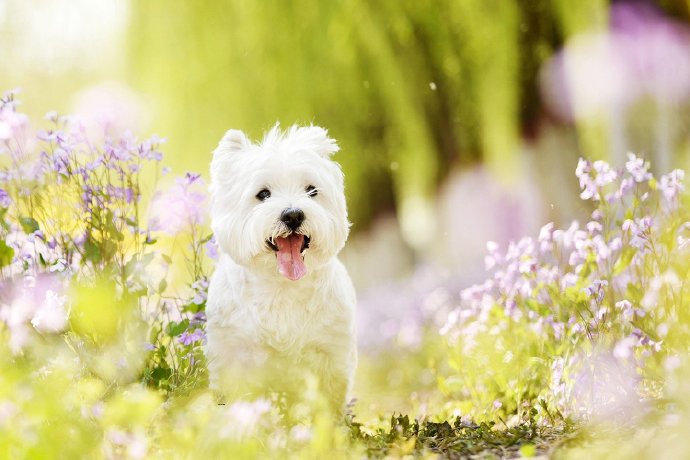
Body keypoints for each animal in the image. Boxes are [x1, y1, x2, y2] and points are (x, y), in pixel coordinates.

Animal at [203, 124, 354, 412]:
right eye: (263, 194)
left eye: (311, 190)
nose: (293, 215)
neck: (282, 287)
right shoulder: (232, 353)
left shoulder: (332, 351)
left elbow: (330, 402)